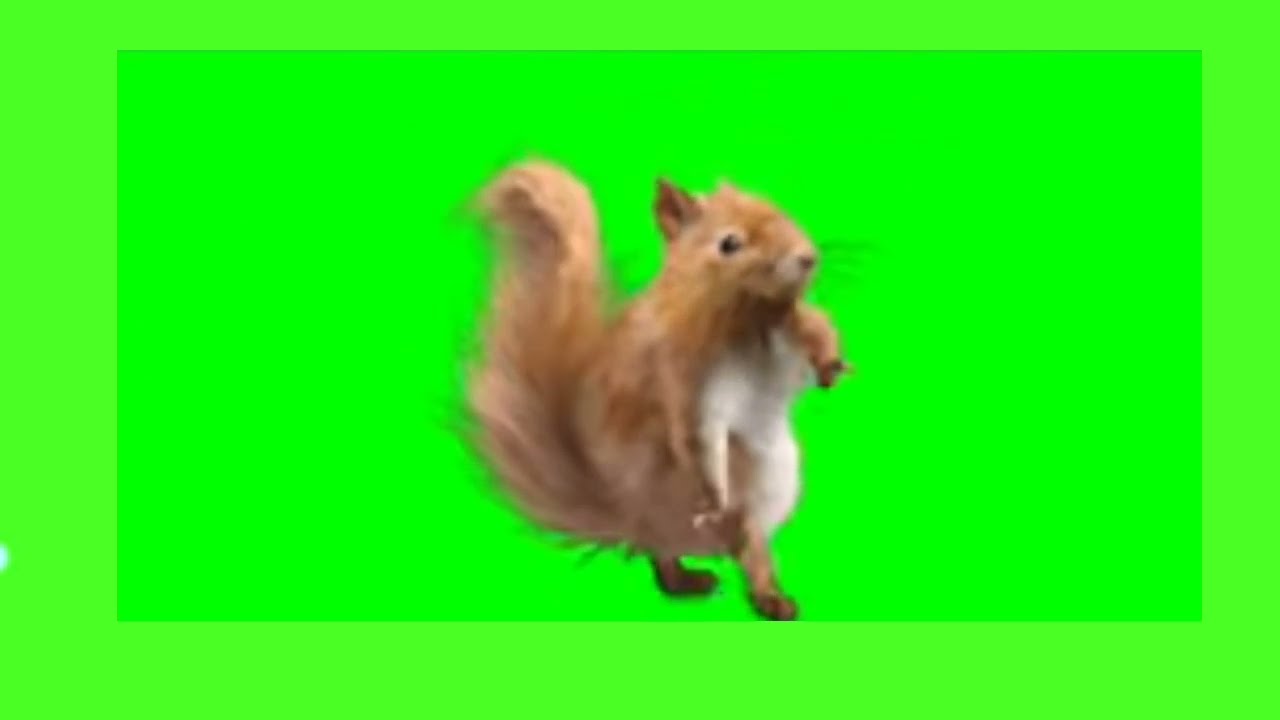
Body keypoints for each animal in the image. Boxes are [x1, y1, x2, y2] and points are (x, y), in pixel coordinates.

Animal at [466, 161, 849, 620]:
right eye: (729, 243)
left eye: (781, 211)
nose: (808, 257)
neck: (751, 319)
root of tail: (627, 516)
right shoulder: (684, 379)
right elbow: (698, 437)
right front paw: (712, 498)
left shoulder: (787, 332)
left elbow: (816, 326)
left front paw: (831, 363)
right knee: (682, 553)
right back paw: (709, 583)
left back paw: (763, 594)